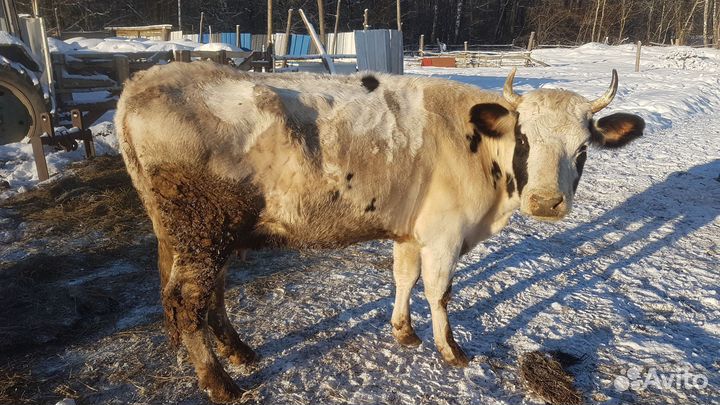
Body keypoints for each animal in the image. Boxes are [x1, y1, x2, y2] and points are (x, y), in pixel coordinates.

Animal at [115, 62, 644, 403]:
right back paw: (220, 382)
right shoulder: (444, 234)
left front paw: (403, 332)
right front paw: (450, 350)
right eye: (524, 138)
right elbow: (439, 292)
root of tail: (142, 81)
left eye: (583, 148)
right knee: (188, 302)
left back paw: (239, 352)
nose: (547, 202)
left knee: (211, 296)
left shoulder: (412, 232)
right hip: (202, 229)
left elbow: (404, 278)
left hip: (206, 235)